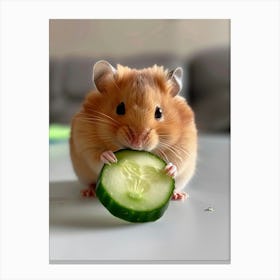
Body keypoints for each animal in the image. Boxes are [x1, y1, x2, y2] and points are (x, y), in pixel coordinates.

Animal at [69, 60, 197, 200]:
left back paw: (179, 195)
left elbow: (177, 163)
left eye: (159, 112)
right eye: (120, 108)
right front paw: (110, 157)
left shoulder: (183, 149)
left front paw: (169, 169)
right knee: (90, 183)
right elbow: (97, 155)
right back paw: (88, 192)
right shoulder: (85, 142)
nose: (137, 142)